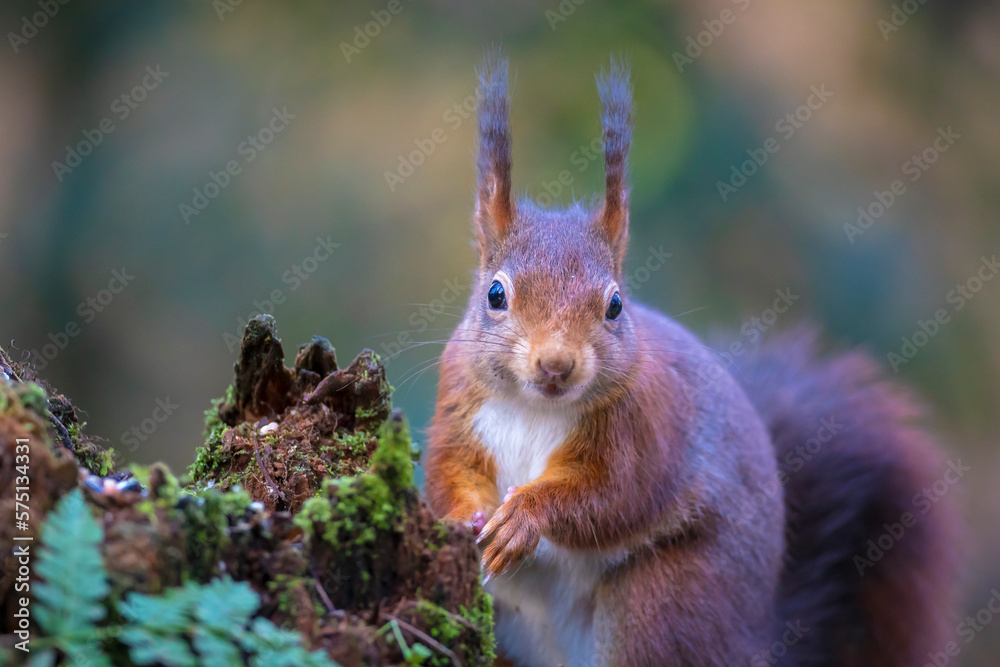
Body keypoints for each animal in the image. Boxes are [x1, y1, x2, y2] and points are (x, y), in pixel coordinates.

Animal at [423, 54, 960, 667]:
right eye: (495, 294)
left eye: (615, 305)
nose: (556, 366)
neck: (536, 408)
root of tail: (757, 640)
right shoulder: (458, 406)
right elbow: (447, 470)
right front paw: (465, 517)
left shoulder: (643, 427)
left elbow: (610, 495)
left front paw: (524, 517)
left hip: (664, 602)